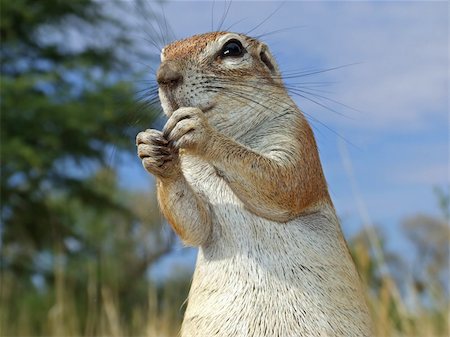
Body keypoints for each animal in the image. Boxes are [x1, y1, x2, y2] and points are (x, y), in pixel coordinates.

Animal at [136, 32, 372, 336]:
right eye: (162, 55)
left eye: (232, 49)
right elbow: (196, 225)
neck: (236, 134)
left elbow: (283, 183)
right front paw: (151, 150)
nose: (163, 76)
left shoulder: (296, 135)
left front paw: (200, 130)